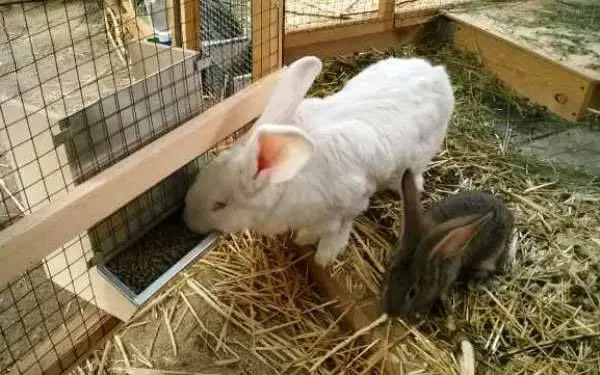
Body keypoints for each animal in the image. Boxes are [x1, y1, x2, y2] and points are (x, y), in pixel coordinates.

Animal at [183, 55, 454, 268]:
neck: (287, 183)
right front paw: (304, 237)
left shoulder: (354, 200)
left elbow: (339, 228)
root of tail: (437, 73)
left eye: (220, 205)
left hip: (422, 153)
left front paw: (324, 254)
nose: (188, 222)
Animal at [382, 169, 512, 318]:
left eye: (412, 292)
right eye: (389, 273)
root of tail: (510, 217)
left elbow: (443, 293)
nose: (390, 312)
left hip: (490, 255)